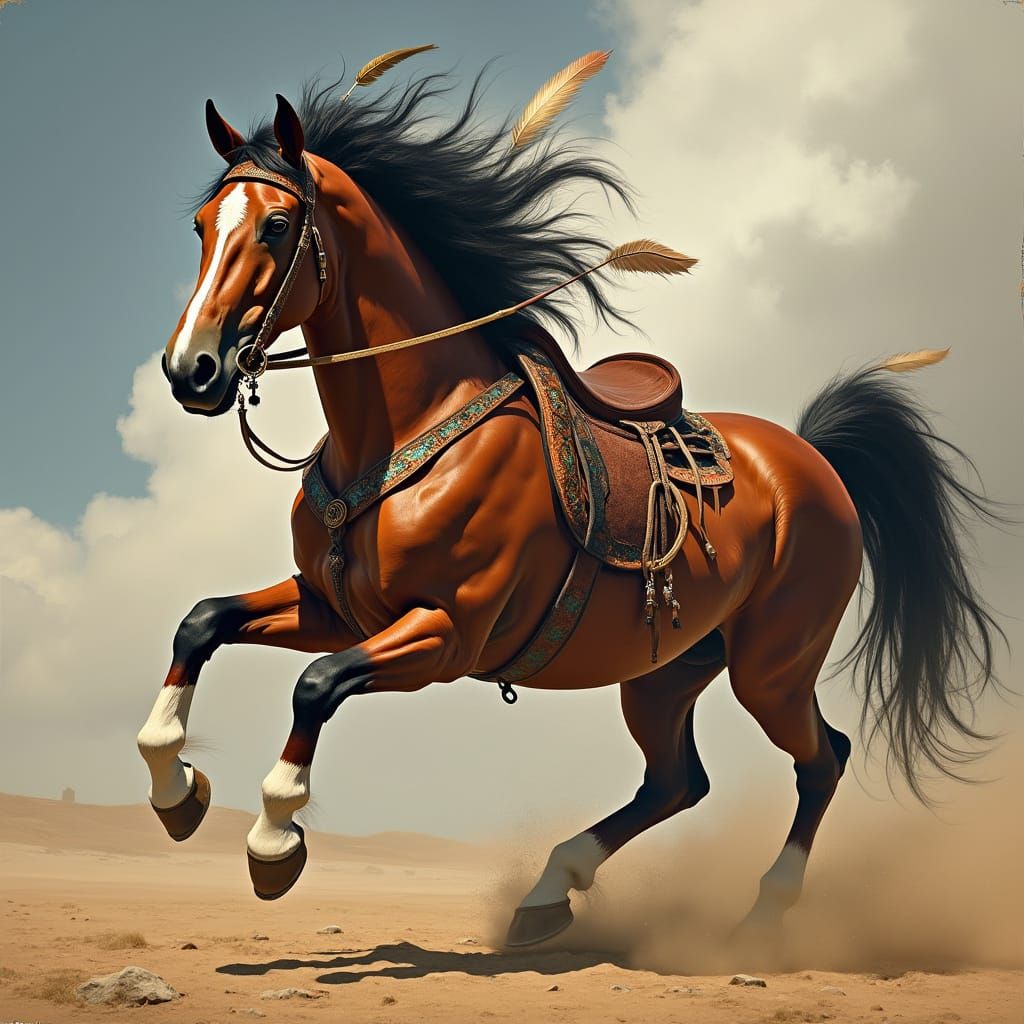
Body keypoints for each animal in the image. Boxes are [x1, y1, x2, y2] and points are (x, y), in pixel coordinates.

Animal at [136, 68, 1002, 949]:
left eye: (277, 225)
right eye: (204, 225)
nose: (190, 369)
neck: (403, 435)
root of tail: (811, 460)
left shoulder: (444, 633)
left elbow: (314, 685)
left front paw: (273, 841)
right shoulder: (333, 606)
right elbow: (201, 623)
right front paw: (176, 789)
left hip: (772, 669)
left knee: (821, 758)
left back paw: (761, 913)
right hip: (667, 671)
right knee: (677, 782)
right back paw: (550, 890)